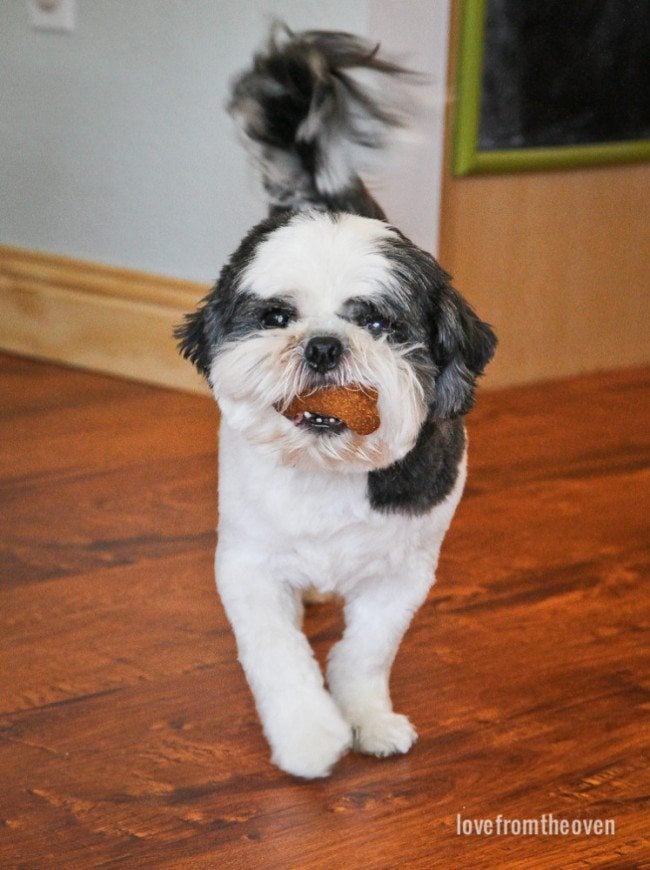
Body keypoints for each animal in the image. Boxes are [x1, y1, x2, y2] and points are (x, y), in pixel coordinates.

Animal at [175, 25, 494, 784]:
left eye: (377, 321)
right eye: (275, 317)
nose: (323, 345)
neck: (328, 470)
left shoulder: (403, 577)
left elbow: (364, 654)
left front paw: (367, 719)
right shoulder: (248, 567)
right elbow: (279, 658)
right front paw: (310, 736)